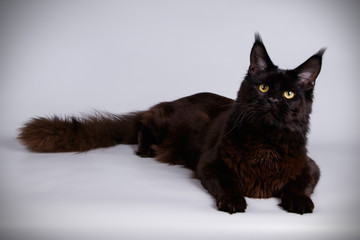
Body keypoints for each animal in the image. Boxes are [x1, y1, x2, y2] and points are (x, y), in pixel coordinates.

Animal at [18, 33, 324, 214]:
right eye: (263, 87)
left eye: (288, 94)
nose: (272, 100)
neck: (265, 143)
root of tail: (175, 100)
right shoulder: (210, 164)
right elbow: (227, 183)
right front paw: (234, 200)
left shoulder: (310, 166)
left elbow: (300, 184)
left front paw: (298, 201)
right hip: (163, 122)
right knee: (143, 123)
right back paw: (145, 149)